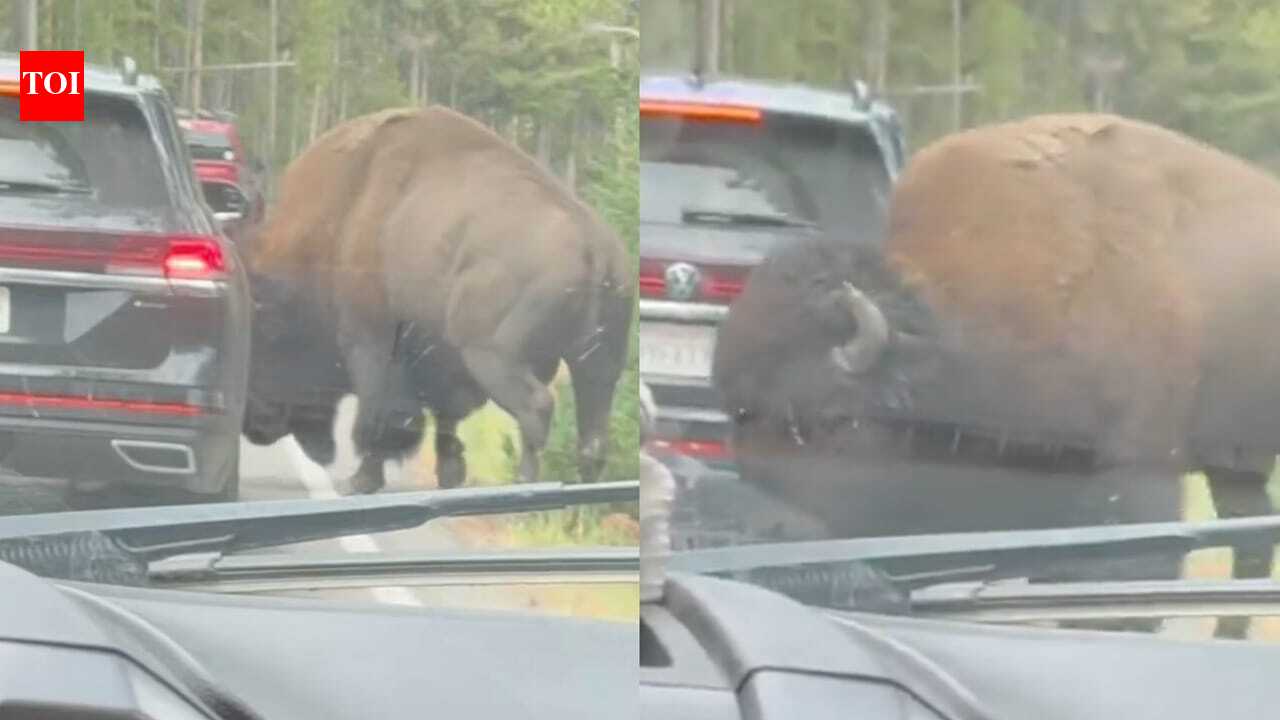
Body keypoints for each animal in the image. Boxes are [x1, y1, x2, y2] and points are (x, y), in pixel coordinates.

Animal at [244, 106, 634, 492]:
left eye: (267, 334)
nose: (254, 426)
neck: (345, 213)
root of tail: (594, 243)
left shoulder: (369, 341)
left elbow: (382, 415)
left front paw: (361, 481)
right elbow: (446, 417)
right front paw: (450, 473)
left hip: (492, 355)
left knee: (536, 407)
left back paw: (523, 484)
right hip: (597, 363)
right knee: (593, 434)